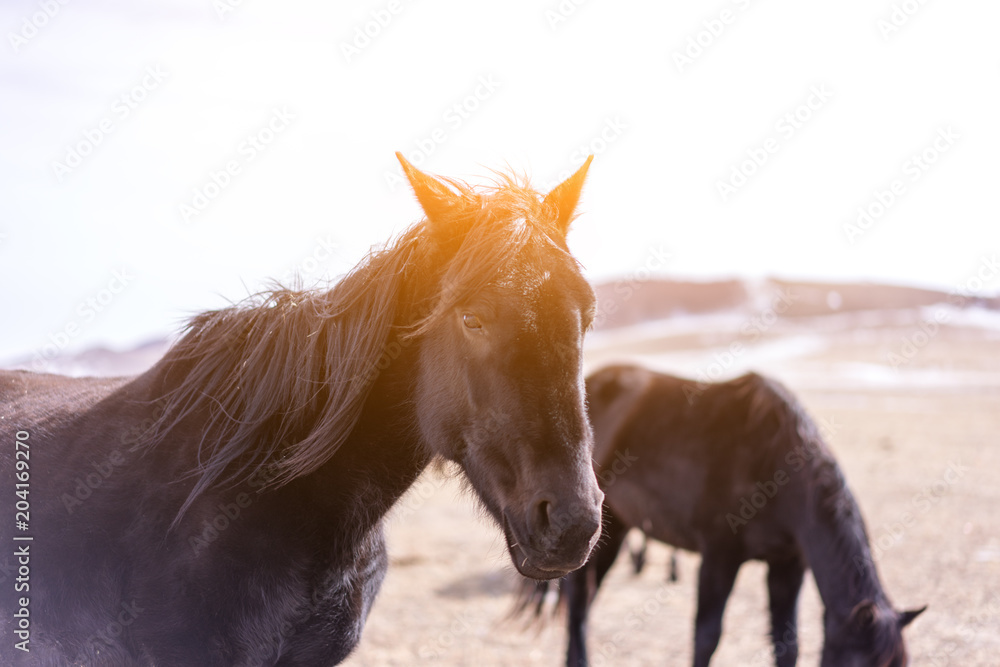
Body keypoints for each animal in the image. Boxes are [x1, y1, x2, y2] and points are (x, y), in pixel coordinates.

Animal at [520, 366, 924, 667]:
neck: (776, 463)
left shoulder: (787, 567)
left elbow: (787, 643)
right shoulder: (719, 558)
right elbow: (707, 637)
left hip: (617, 528)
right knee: (578, 605)